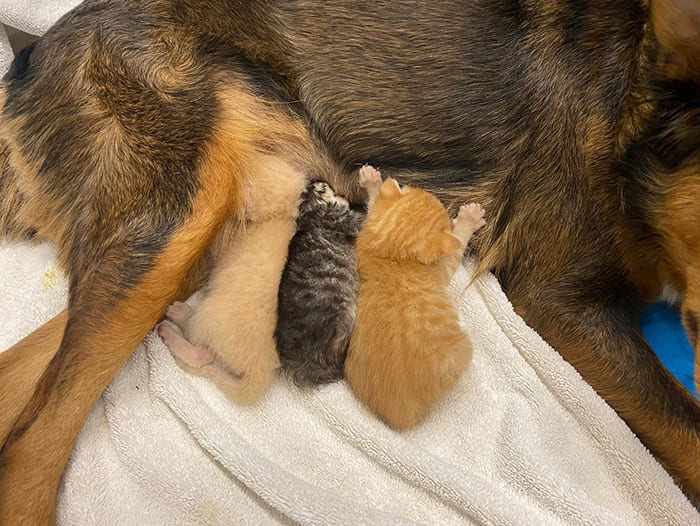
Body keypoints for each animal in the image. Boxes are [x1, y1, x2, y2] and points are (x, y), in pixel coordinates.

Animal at [346, 167, 486, 432]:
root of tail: (400, 415)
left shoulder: (370, 227)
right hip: (464, 349)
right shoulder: (442, 269)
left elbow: (373, 206)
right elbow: (457, 247)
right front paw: (468, 220)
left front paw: (372, 181)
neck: (391, 253)